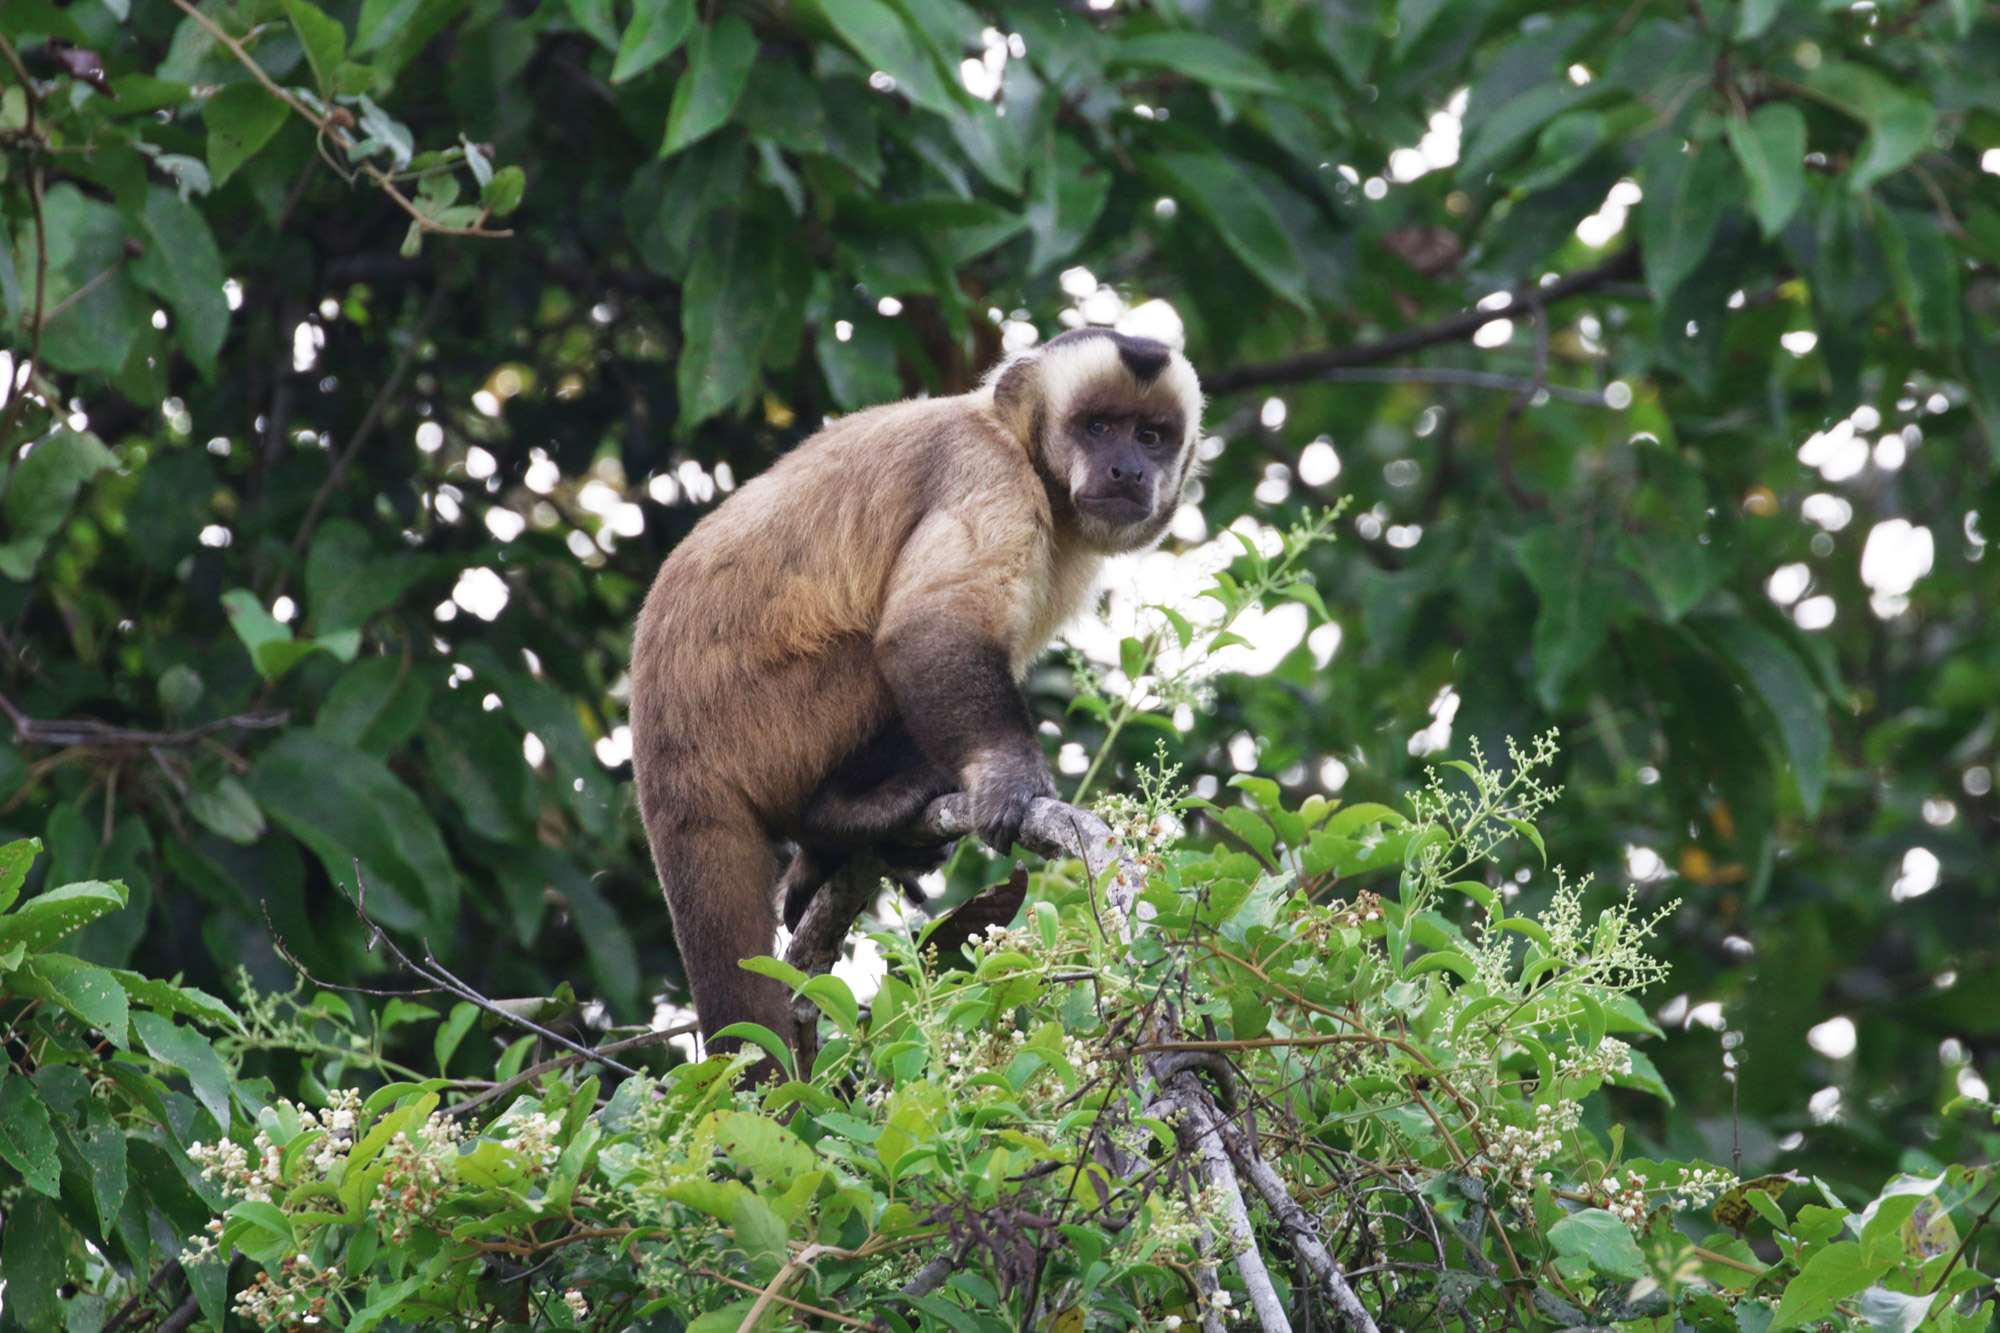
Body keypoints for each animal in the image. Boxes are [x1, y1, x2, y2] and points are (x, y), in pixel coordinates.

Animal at [632, 330, 1208, 1056]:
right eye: (1099, 428)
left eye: (1152, 436)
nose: (1127, 469)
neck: (1016, 445)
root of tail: (661, 756)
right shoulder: (987, 472)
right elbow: (926, 629)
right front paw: (1007, 778)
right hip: (761, 728)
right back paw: (842, 815)